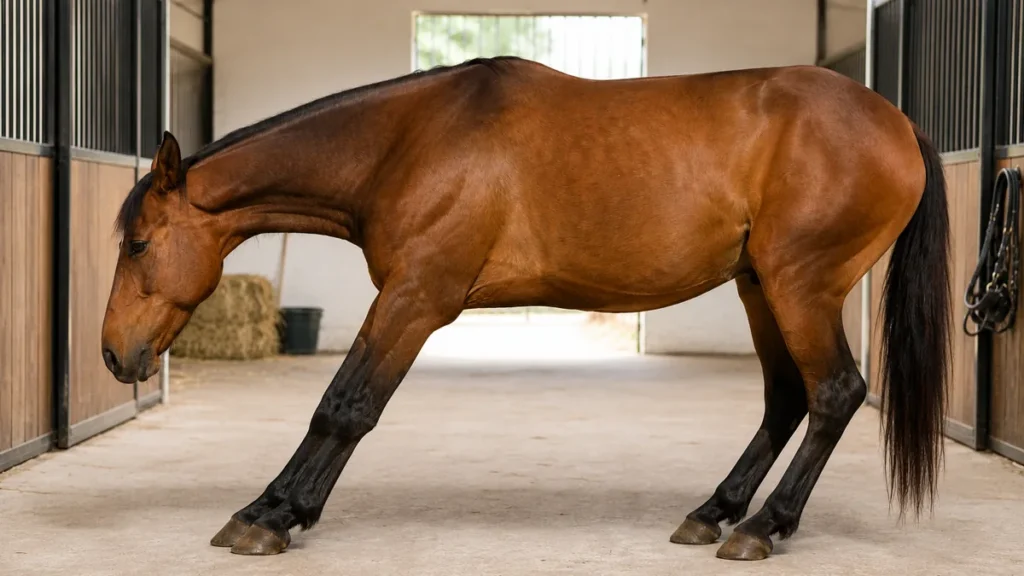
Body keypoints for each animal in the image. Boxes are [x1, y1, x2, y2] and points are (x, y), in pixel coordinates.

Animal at [100, 56, 949, 560]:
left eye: (139, 243)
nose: (114, 355)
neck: (411, 140)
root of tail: (899, 122)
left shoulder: (415, 297)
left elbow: (344, 406)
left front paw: (273, 515)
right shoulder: (407, 297)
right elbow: (343, 406)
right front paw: (276, 506)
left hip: (800, 285)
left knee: (834, 393)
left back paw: (764, 528)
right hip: (760, 287)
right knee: (785, 399)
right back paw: (716, 510)